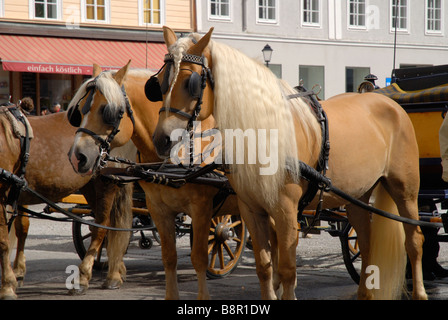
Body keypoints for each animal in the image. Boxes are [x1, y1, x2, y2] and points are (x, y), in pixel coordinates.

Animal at [4, 110, 136, 300]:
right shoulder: (19, 193)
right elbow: (21, 228)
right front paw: (18, 272)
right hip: (90, 188)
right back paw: (115, 270)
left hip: (105, 186)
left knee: (102, 227)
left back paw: (91, 277)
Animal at [65, 62, 242, 300]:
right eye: (80, 110)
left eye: (108, 111)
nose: (77, 156)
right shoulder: (158, 208)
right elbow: (168, 256)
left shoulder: (202, 209)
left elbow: (199, 257)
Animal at [150, 26, 428, 300]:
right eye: (159, 83)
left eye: (191, 83)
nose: (161, 140)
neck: (264, 134)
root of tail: (389, 103)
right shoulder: (251, 210)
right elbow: (264, 266)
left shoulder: (285, 211)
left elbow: (286, 269)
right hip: (357, 196)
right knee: (367, 242)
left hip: (405, 191)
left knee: (414, 240)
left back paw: (419, 292)